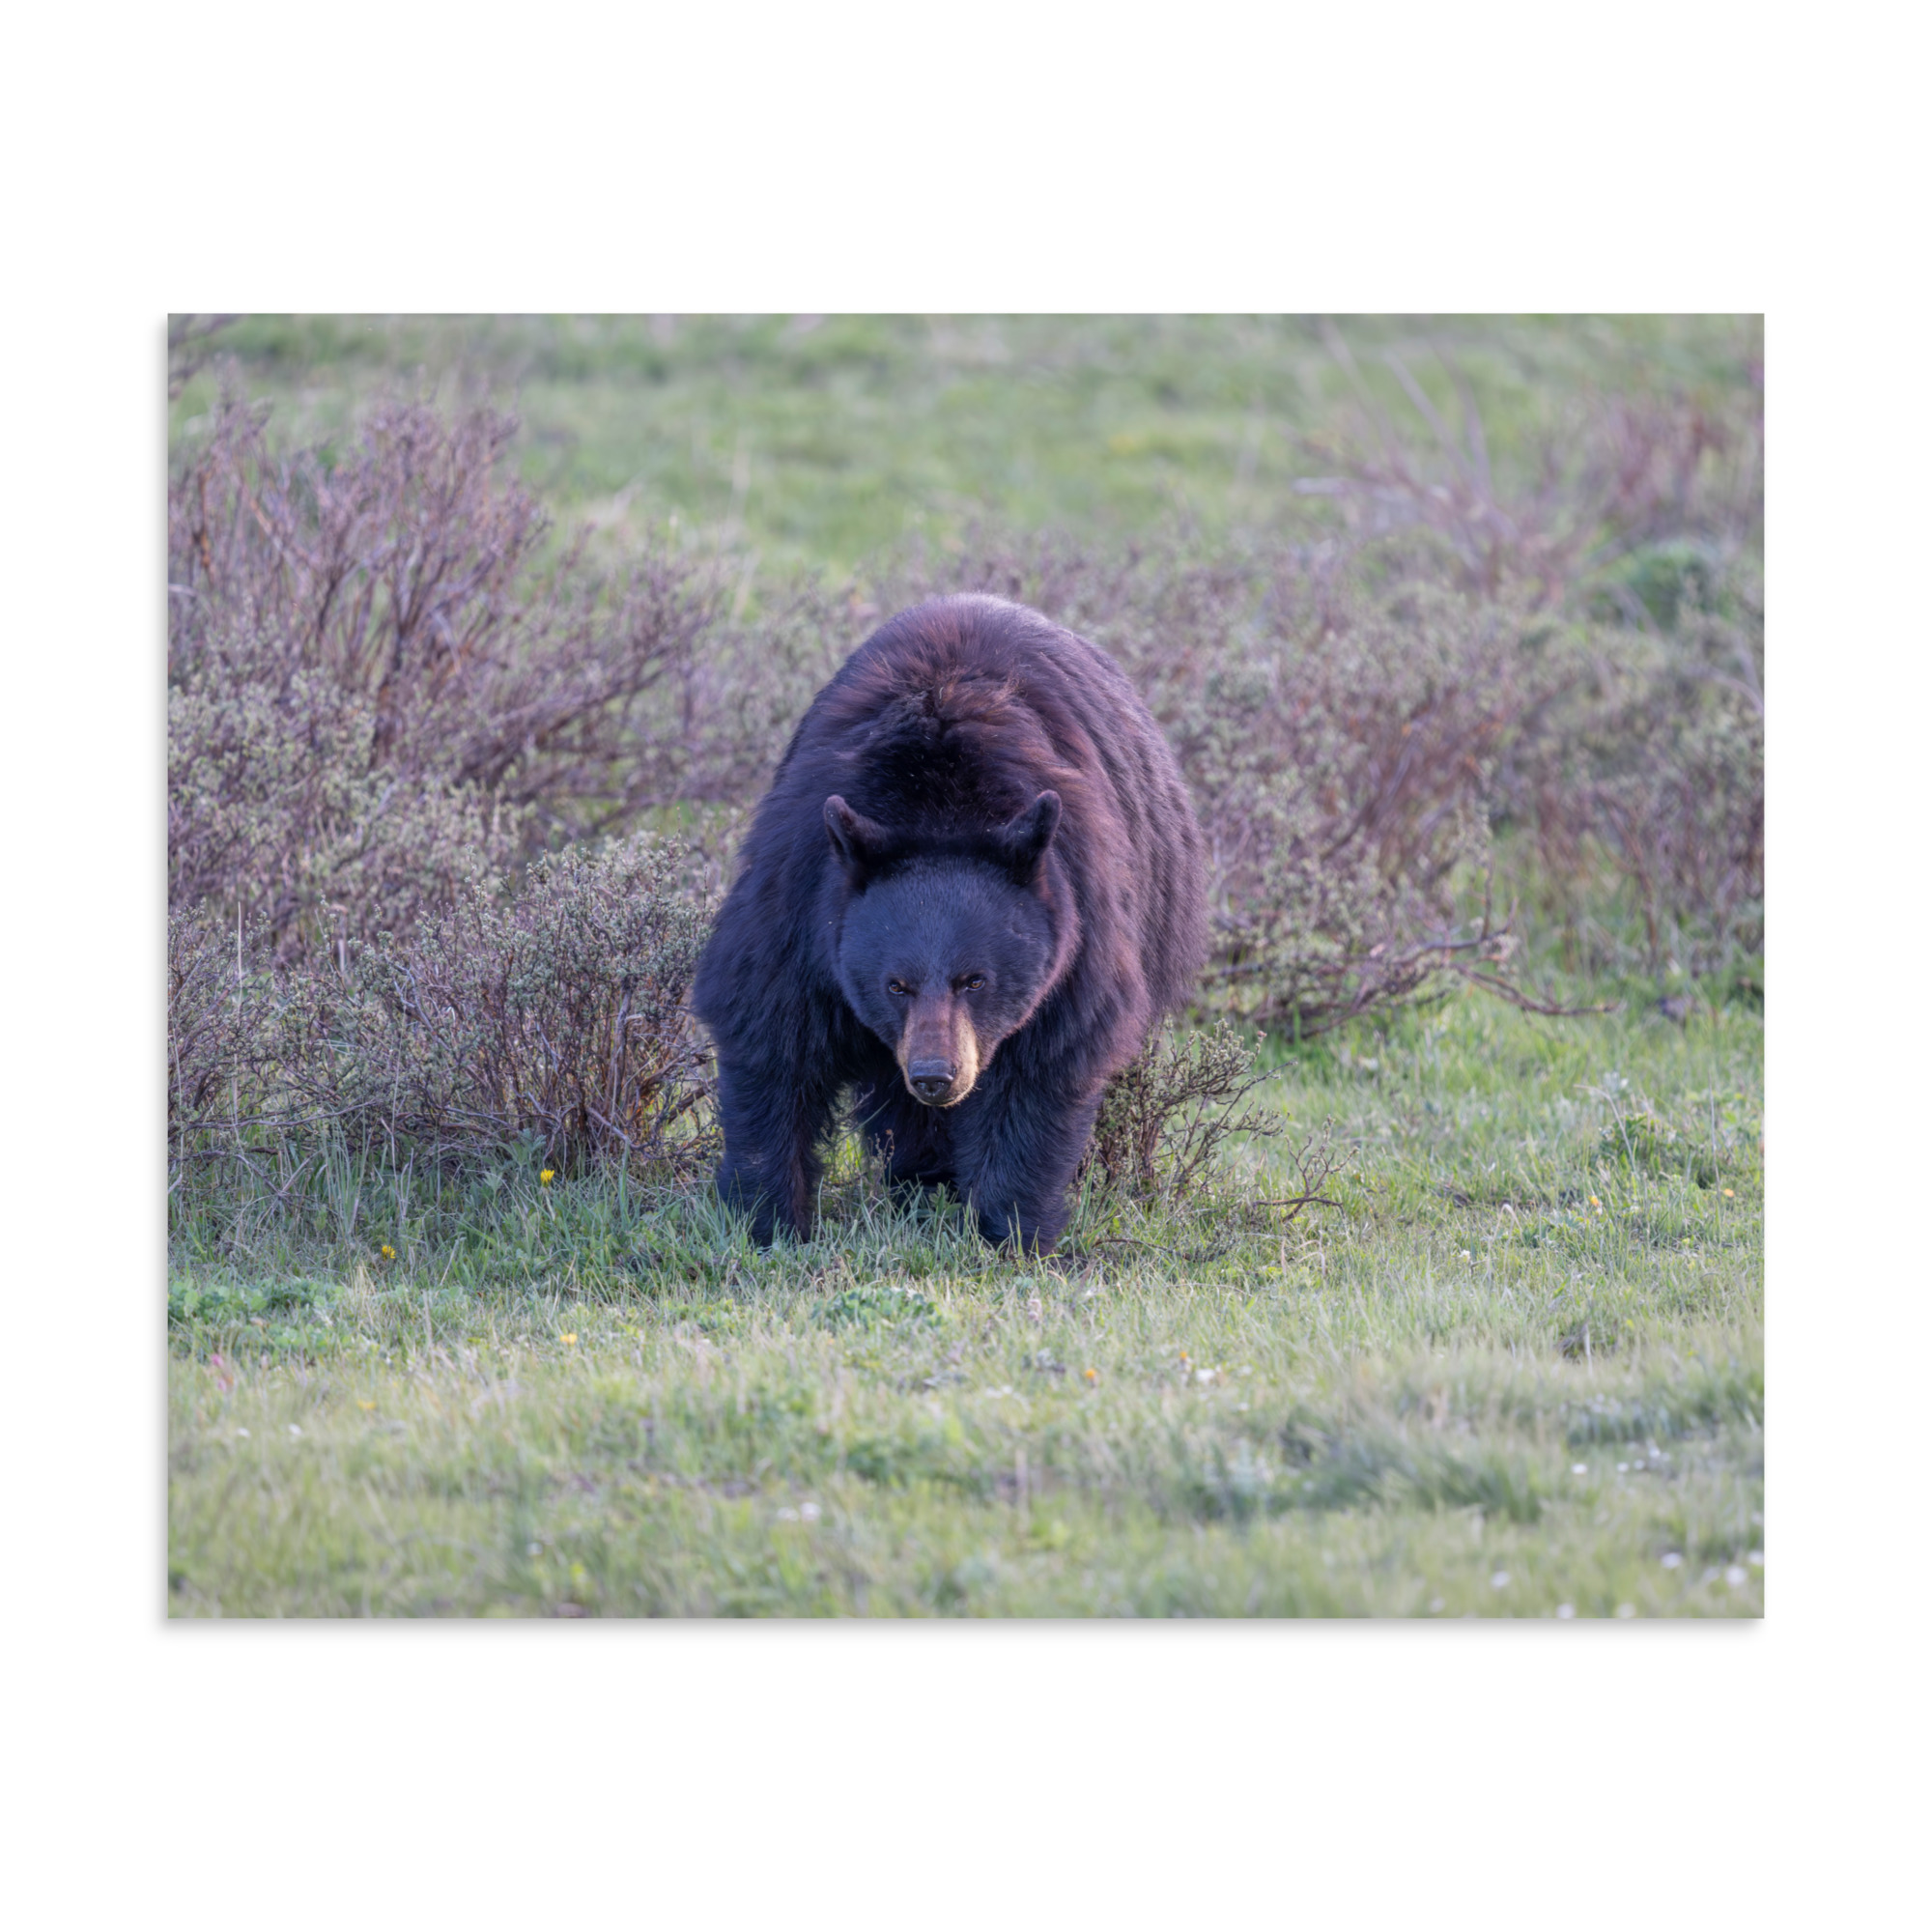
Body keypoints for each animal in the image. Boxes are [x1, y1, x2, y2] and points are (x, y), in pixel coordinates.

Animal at [691, 593, 1207, 1250]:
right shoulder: (801, 897)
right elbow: (770, 1035)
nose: (937, 1076)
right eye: (895, 984)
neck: (937, 804)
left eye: (975, 980)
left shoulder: (1078, 921)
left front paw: (1012, 1231)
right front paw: (768, 1220)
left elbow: (1042, 1067)